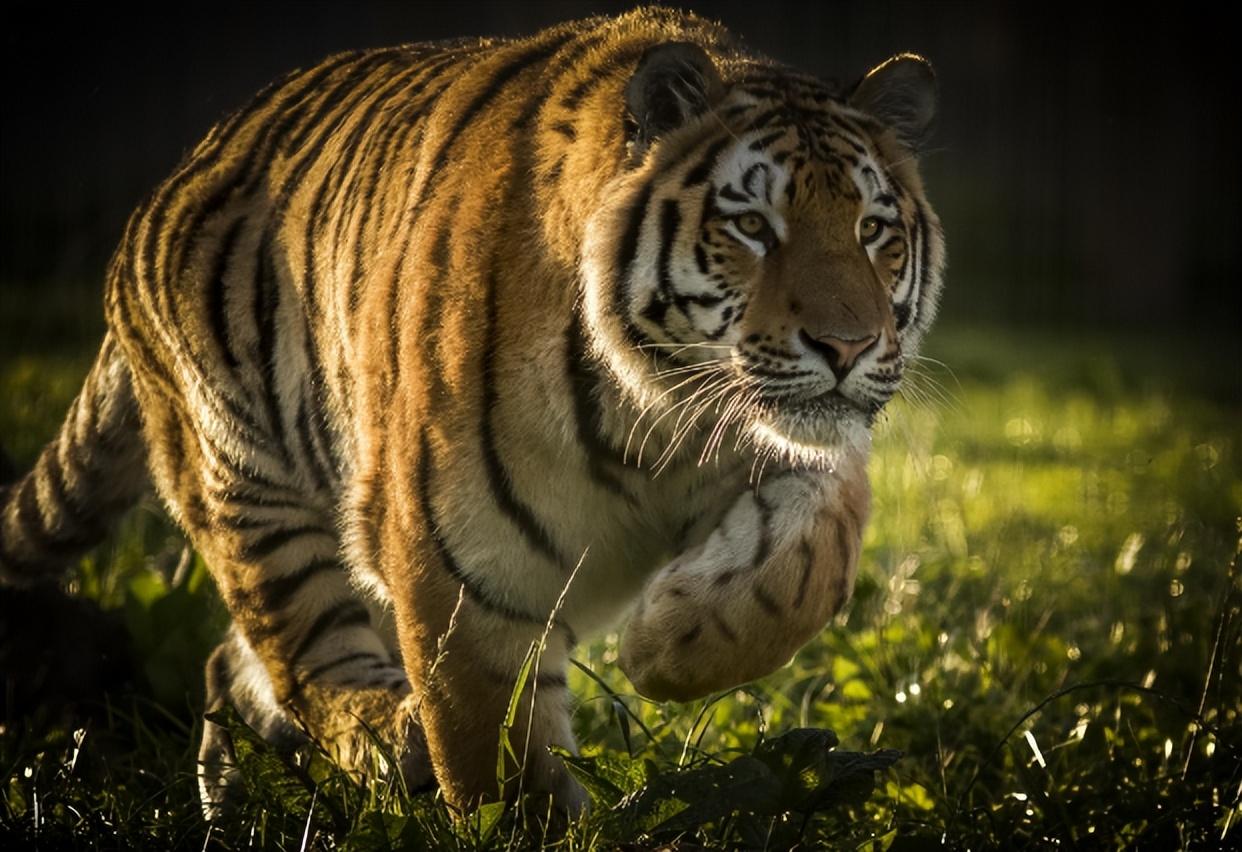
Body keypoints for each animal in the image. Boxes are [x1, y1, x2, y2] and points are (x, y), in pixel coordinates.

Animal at [0, 6, 944, 817]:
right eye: (750, 225)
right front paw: (531, 810)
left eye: (872, 229)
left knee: (229, 667)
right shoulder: (460, 566)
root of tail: (164, 187)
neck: (658, 417)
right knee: (301, 665)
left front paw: (665, 643)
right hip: (248, 485)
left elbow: (809, 569)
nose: (848, 346)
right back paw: (391, 744)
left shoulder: (797, 451)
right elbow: (496, 752)